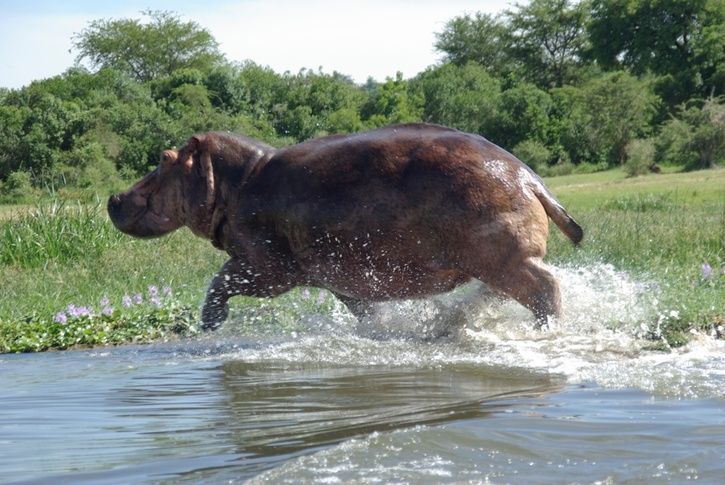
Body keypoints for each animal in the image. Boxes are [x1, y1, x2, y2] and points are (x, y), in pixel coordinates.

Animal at [108, 123, 582, 331]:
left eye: (165, 158)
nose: (113, 198)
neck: (236, 181)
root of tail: (531, 178)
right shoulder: (340, 277)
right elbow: (363, 309)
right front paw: (381, 332)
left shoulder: (267, 267)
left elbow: (222, 280)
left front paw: (207, 325)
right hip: (496, 259)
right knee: (506, 290)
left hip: (504, 256)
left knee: (545, 287)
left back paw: (547, 329)